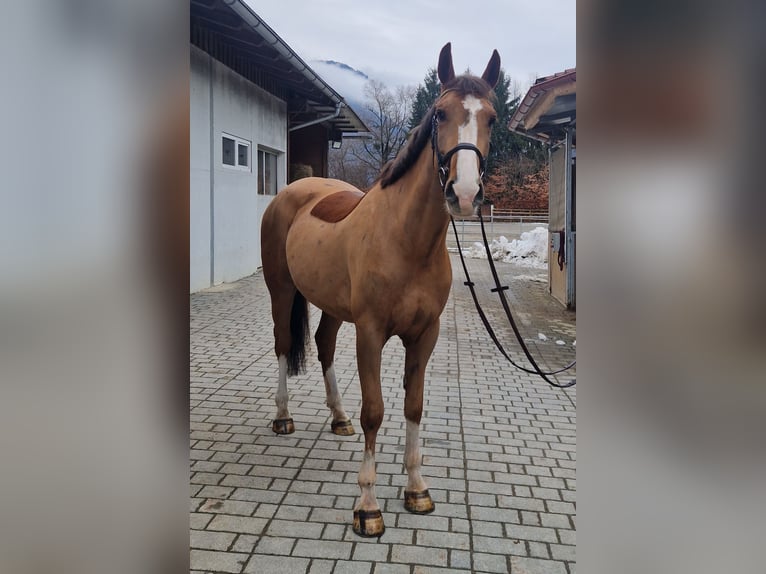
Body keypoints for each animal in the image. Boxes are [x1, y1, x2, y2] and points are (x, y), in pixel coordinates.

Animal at [260, 42, 500, 537]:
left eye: (492, 117)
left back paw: (338, 418)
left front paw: (417, 489)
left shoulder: (424, 336)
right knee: (283, 344)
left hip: (332, 307)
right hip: (281, 291)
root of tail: (295, 189)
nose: (465, 194)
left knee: (323, 345)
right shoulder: (370, 333)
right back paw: (283, 417)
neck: (407, 241)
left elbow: (413, 405)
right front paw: (368, 506)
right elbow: (375, 410)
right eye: (441, 113)